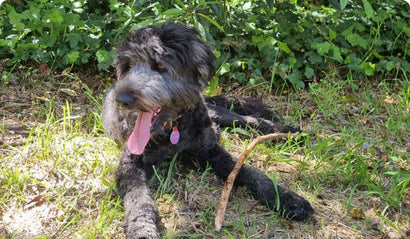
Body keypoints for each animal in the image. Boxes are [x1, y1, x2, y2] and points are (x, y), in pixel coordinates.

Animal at [102, 21, 314, 238]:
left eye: (160, 66)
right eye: (127, 66)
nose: (122, 100)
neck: (173, 129)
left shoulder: (211, 151)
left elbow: (250, 172)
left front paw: (286, 198)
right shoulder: (130, 162)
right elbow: (138, 200)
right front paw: (143, 229)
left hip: (219, 115)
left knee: (249, 120)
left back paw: (288, 133)